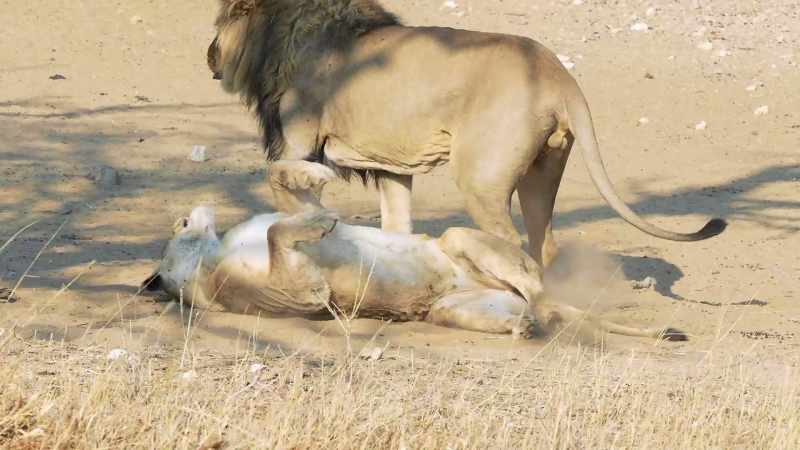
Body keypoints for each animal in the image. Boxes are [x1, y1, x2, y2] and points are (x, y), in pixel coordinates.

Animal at [142, 160, 687, 342]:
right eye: (179, 223)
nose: (195, 207)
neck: (210, 257)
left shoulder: (283, 215)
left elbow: (279, 184)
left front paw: (316, 177)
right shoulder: (299, 294)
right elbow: (281, 234)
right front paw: (319, 221)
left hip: (464, 247)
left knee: (550, 301)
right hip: (452, 292)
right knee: (546, 308)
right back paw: (527, 326)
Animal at [206, 0, 726, 267]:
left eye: (220, 22)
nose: (209, 54)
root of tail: (558, 74)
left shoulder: (298, 141)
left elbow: (285, 197)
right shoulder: (391, 168)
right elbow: (396, 226)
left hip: (481, 177)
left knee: (511, 242)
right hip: (542, 173)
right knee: (544, 242)